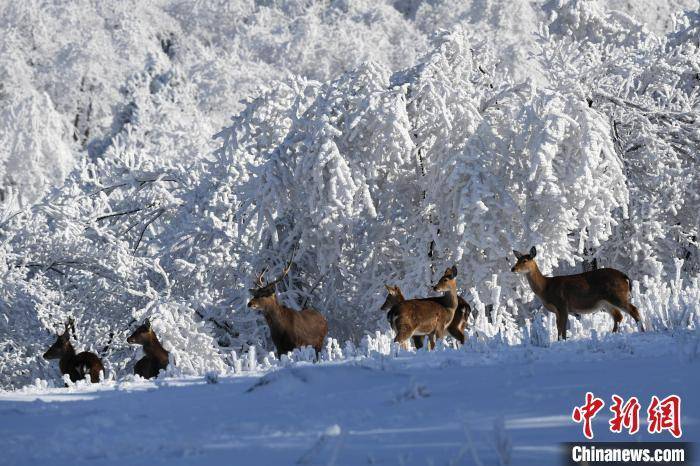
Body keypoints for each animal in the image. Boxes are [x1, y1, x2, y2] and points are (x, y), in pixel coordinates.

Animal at [512, 246, 644, 340]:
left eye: (525, 260)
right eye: (517, 259)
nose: (513, 268)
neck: (545, 288)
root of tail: (625, 276)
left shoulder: (562, 304)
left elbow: (563, 328)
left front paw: (563, 341)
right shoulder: (556, 310)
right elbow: (558, 327)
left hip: (617, 295)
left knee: (633, 310)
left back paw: (642, 331)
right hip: (605, 302)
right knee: (618, 316)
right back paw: (612, 335)